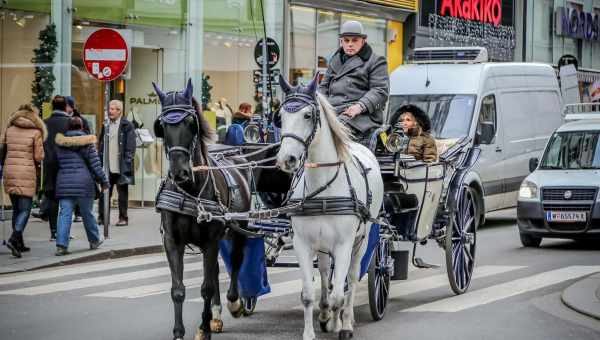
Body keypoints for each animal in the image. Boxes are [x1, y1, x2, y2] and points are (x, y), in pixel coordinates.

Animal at [155, 79, 251, 340]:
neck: (191, 188)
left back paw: (233, 303)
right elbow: (178, 289)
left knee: (236, 261)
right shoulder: (172, 241)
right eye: (162, 125)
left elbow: (206, 288)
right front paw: (180, 332)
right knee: (216, 270)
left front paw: (204, 329)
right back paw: (216, 316)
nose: (179, 172)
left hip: (239, 229)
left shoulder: (210, 240)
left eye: (191, 122)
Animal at [274, 74, 382, 340]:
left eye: (307, 115)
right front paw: (311, 331)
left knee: (351, 278)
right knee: (324, 272)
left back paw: (346, 318)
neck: (323, 186)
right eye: (280, 116)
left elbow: (339, 294)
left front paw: (341, 325)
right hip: (322, 244)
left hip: (362, 240)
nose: (286, 160)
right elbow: (308, 294)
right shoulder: (302, 244)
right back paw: (325, 314)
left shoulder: (344, 244)